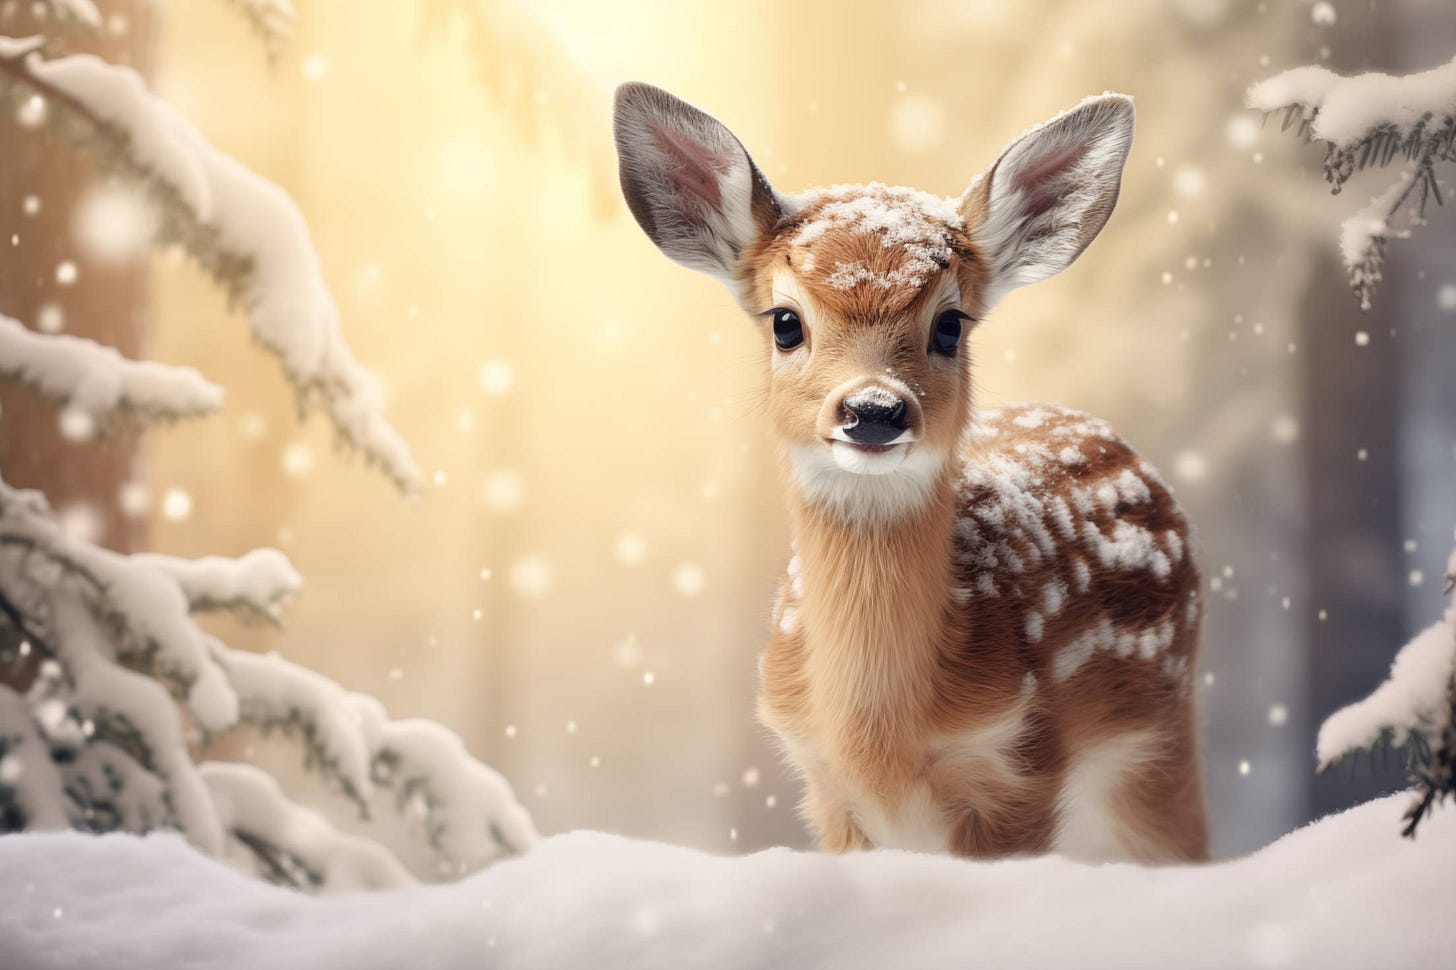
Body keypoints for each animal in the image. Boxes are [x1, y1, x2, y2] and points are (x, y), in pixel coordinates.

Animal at [613, 83, 1209, 863]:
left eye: (950, 325)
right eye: (785, 322)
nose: (873, 409)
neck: (878, 737)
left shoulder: (1021, 765)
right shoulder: (826, 787)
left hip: (1159, 741)